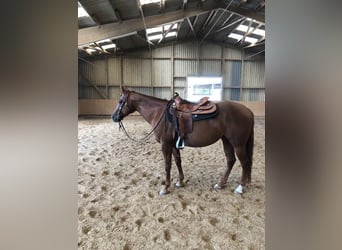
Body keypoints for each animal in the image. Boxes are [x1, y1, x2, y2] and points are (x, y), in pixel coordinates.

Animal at [112, 87, 254, 195]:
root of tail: (248, 111)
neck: (159, 113)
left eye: (120, 101)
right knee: (231, 160)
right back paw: (220, 184)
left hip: (238, 144)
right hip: (227, 141)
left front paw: (165, 188)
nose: (114, 117)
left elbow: (167, 165)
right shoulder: (173, 145)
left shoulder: (165, 144)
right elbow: (178, 161)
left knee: (244, 162)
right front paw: (180, 181)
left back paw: (240, 187)